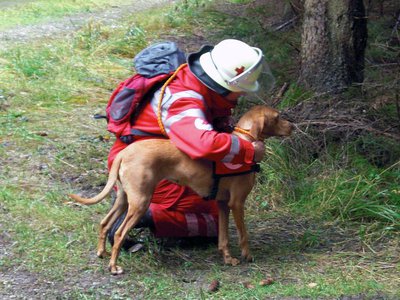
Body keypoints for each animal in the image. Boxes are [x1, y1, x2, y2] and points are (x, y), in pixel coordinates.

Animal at [69, 105, 294, 274]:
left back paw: (102, 253)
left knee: (105, 223)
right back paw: (114, 266)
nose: (293, 126)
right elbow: (243, 235)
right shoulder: (237, 203)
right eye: (278, 117)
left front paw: (228, 259)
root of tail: (124, 153)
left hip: (124, 199)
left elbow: (223, 238)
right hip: (141, 202)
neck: (245, 143)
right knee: (119, 233)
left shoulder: (222, 204)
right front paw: (248, 256)